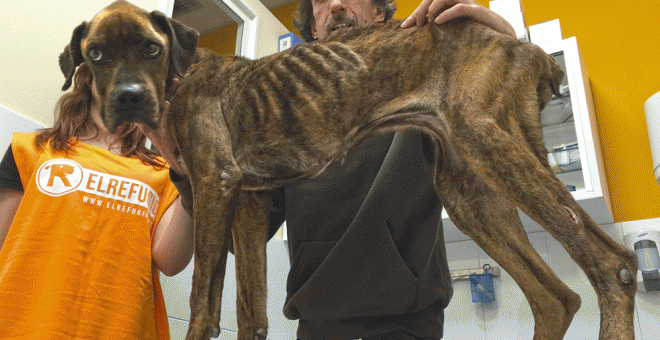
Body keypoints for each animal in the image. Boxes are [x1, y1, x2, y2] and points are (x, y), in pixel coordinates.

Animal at [60, 0, 640, 340]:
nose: (128, 99)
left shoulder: (215, 186)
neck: (178, 79)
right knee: (557, 298)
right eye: (97, 55)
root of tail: (519, 44)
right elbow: (252, 312)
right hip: (468, 191)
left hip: (486, 138)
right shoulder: (248, 204)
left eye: (151, 48)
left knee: (611, 265)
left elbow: (205, 306)